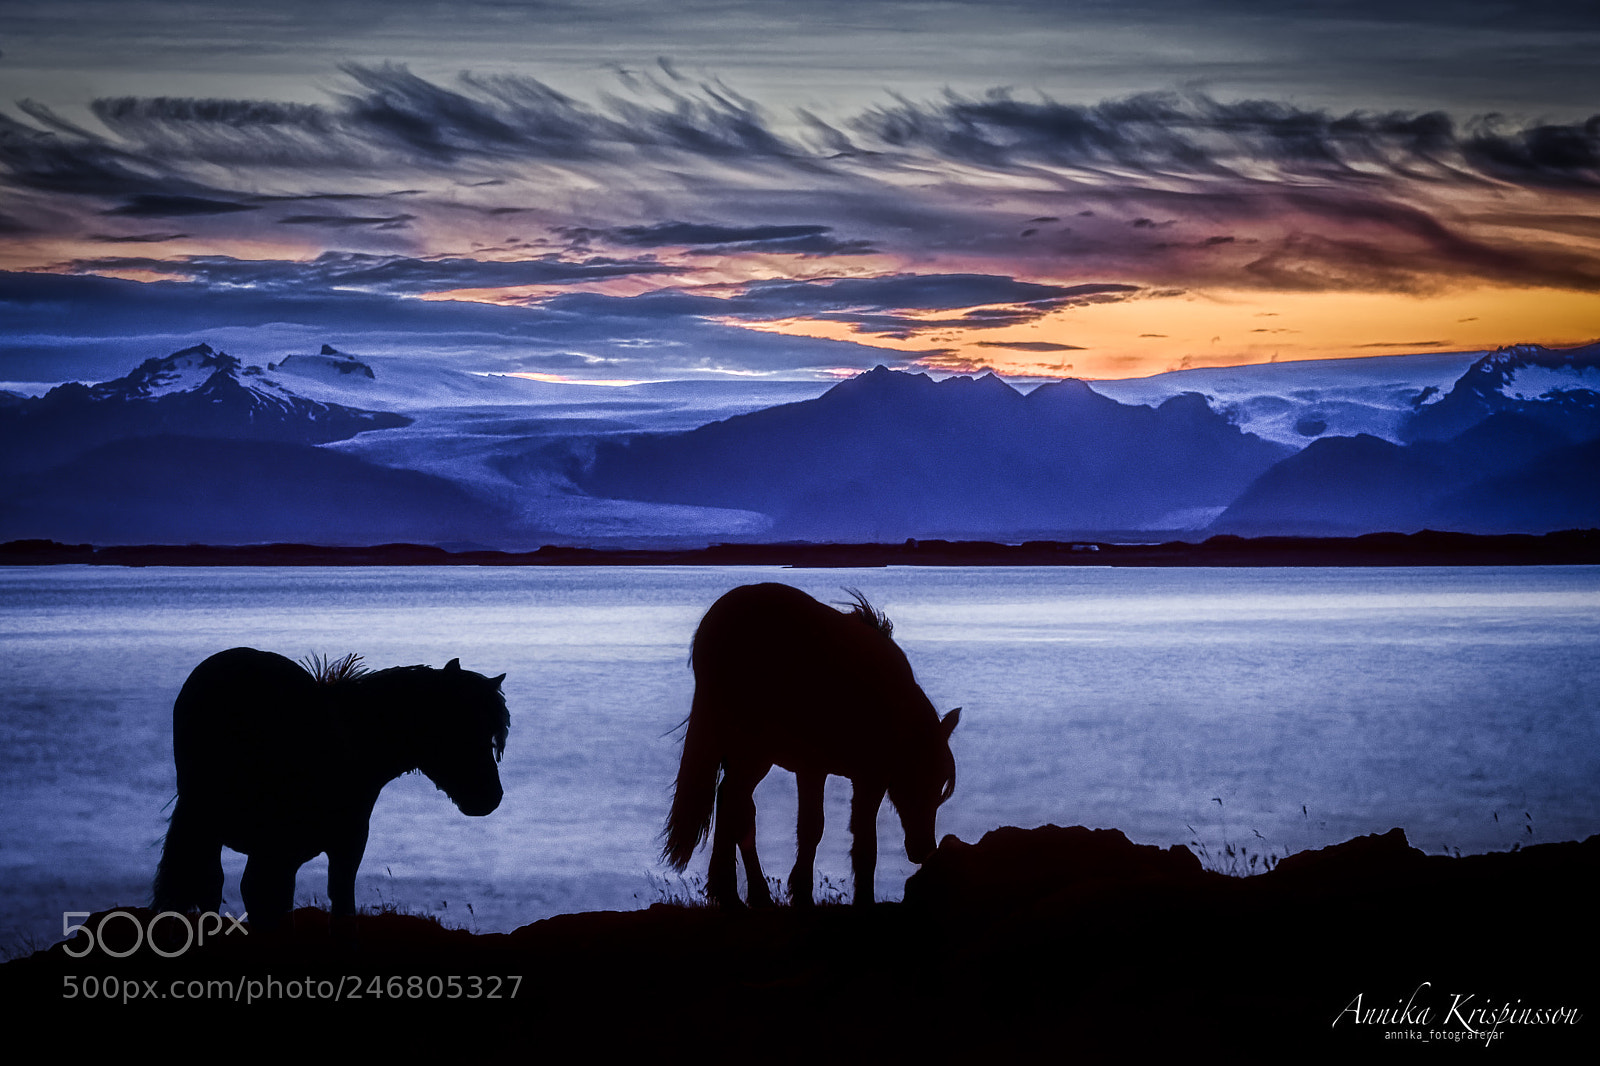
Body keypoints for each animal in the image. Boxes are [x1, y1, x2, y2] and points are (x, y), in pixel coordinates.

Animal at [662, 583, 959, 907]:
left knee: (730, 803)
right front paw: (824, 895)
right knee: (737, 808)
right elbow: (834, 832)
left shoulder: (847, 774)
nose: (924, 850)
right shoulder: (841, 773)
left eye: (941, 784)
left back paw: (731, 893)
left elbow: (837, 832)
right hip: (753, 753)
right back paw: (750, 895)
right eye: (919, 780)